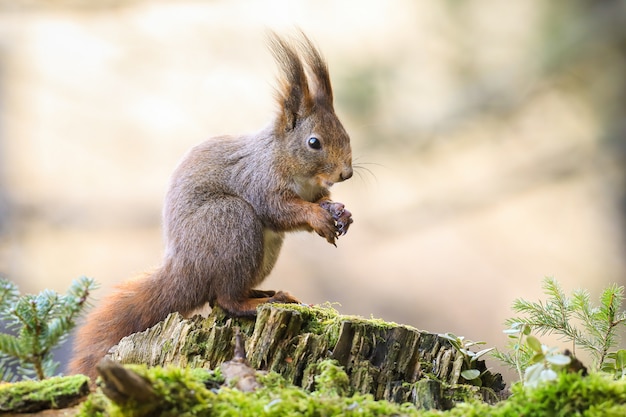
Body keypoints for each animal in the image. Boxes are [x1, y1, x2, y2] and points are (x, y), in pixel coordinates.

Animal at [69, 31, 352, 376]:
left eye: (346, 135)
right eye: (314, 142)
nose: (346, 173)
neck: (286, 161)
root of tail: (185, 270)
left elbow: (321, 201)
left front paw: (340, 212)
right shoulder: (259, 181)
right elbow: (280, 210)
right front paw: (318, 217)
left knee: (220, 297)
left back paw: (264, 293)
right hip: (231, 222)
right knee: (226, 300)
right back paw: (261, 302)